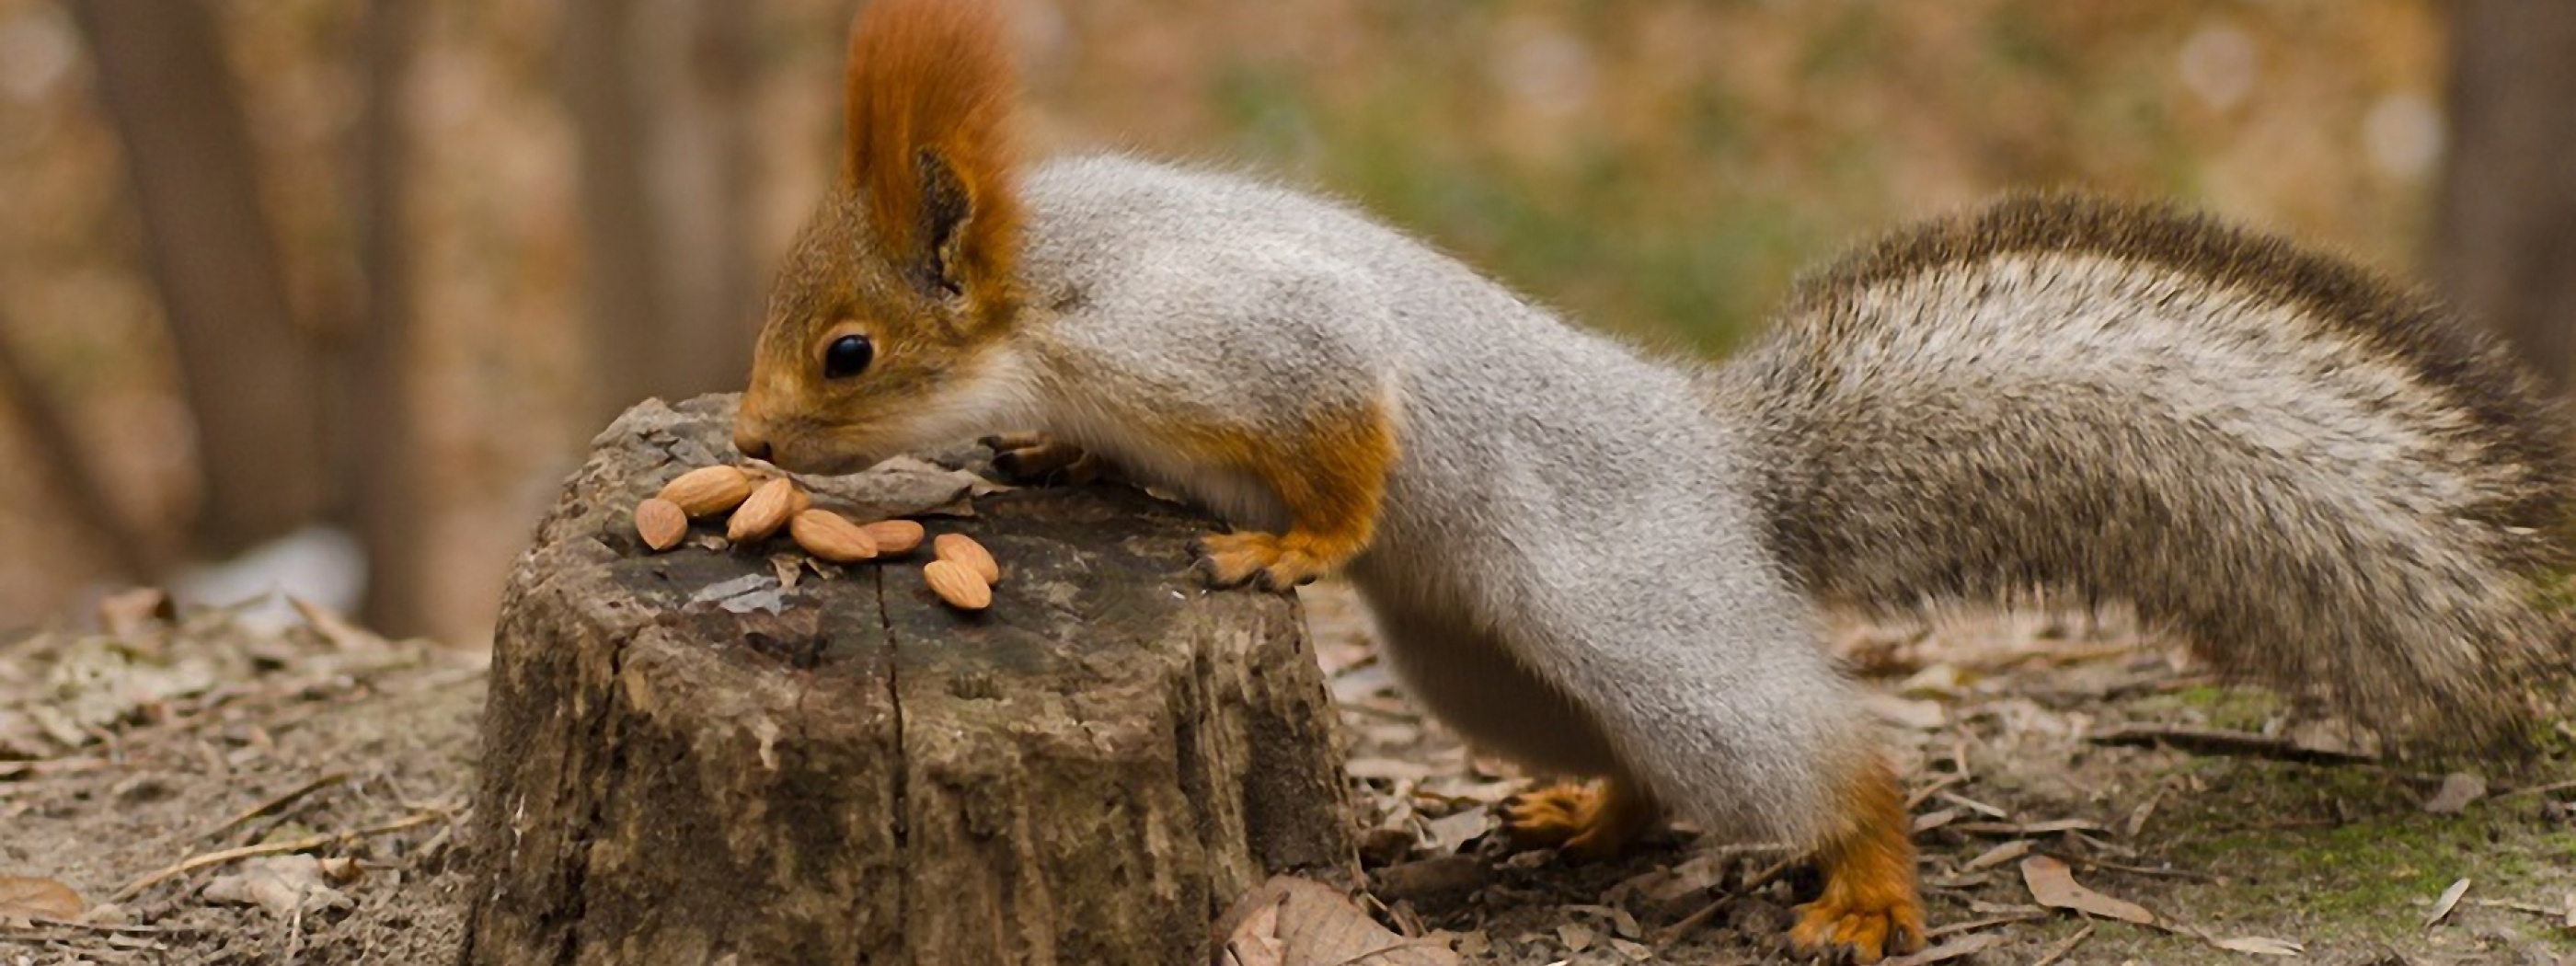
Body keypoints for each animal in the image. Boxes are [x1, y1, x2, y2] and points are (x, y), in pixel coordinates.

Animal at [726, 0, 2576, 963]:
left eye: (848, 354)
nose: (746, 445)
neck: (1044, 288)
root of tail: (1728, 469)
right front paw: (1047, 450)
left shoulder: (1227, 333)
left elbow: (1349, 414)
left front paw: (1298, 540)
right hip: (1480, 663)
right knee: (1636, 771)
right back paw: (1587, 816)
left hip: (1648, 625)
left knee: (1816, 761)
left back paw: (1867, 884)